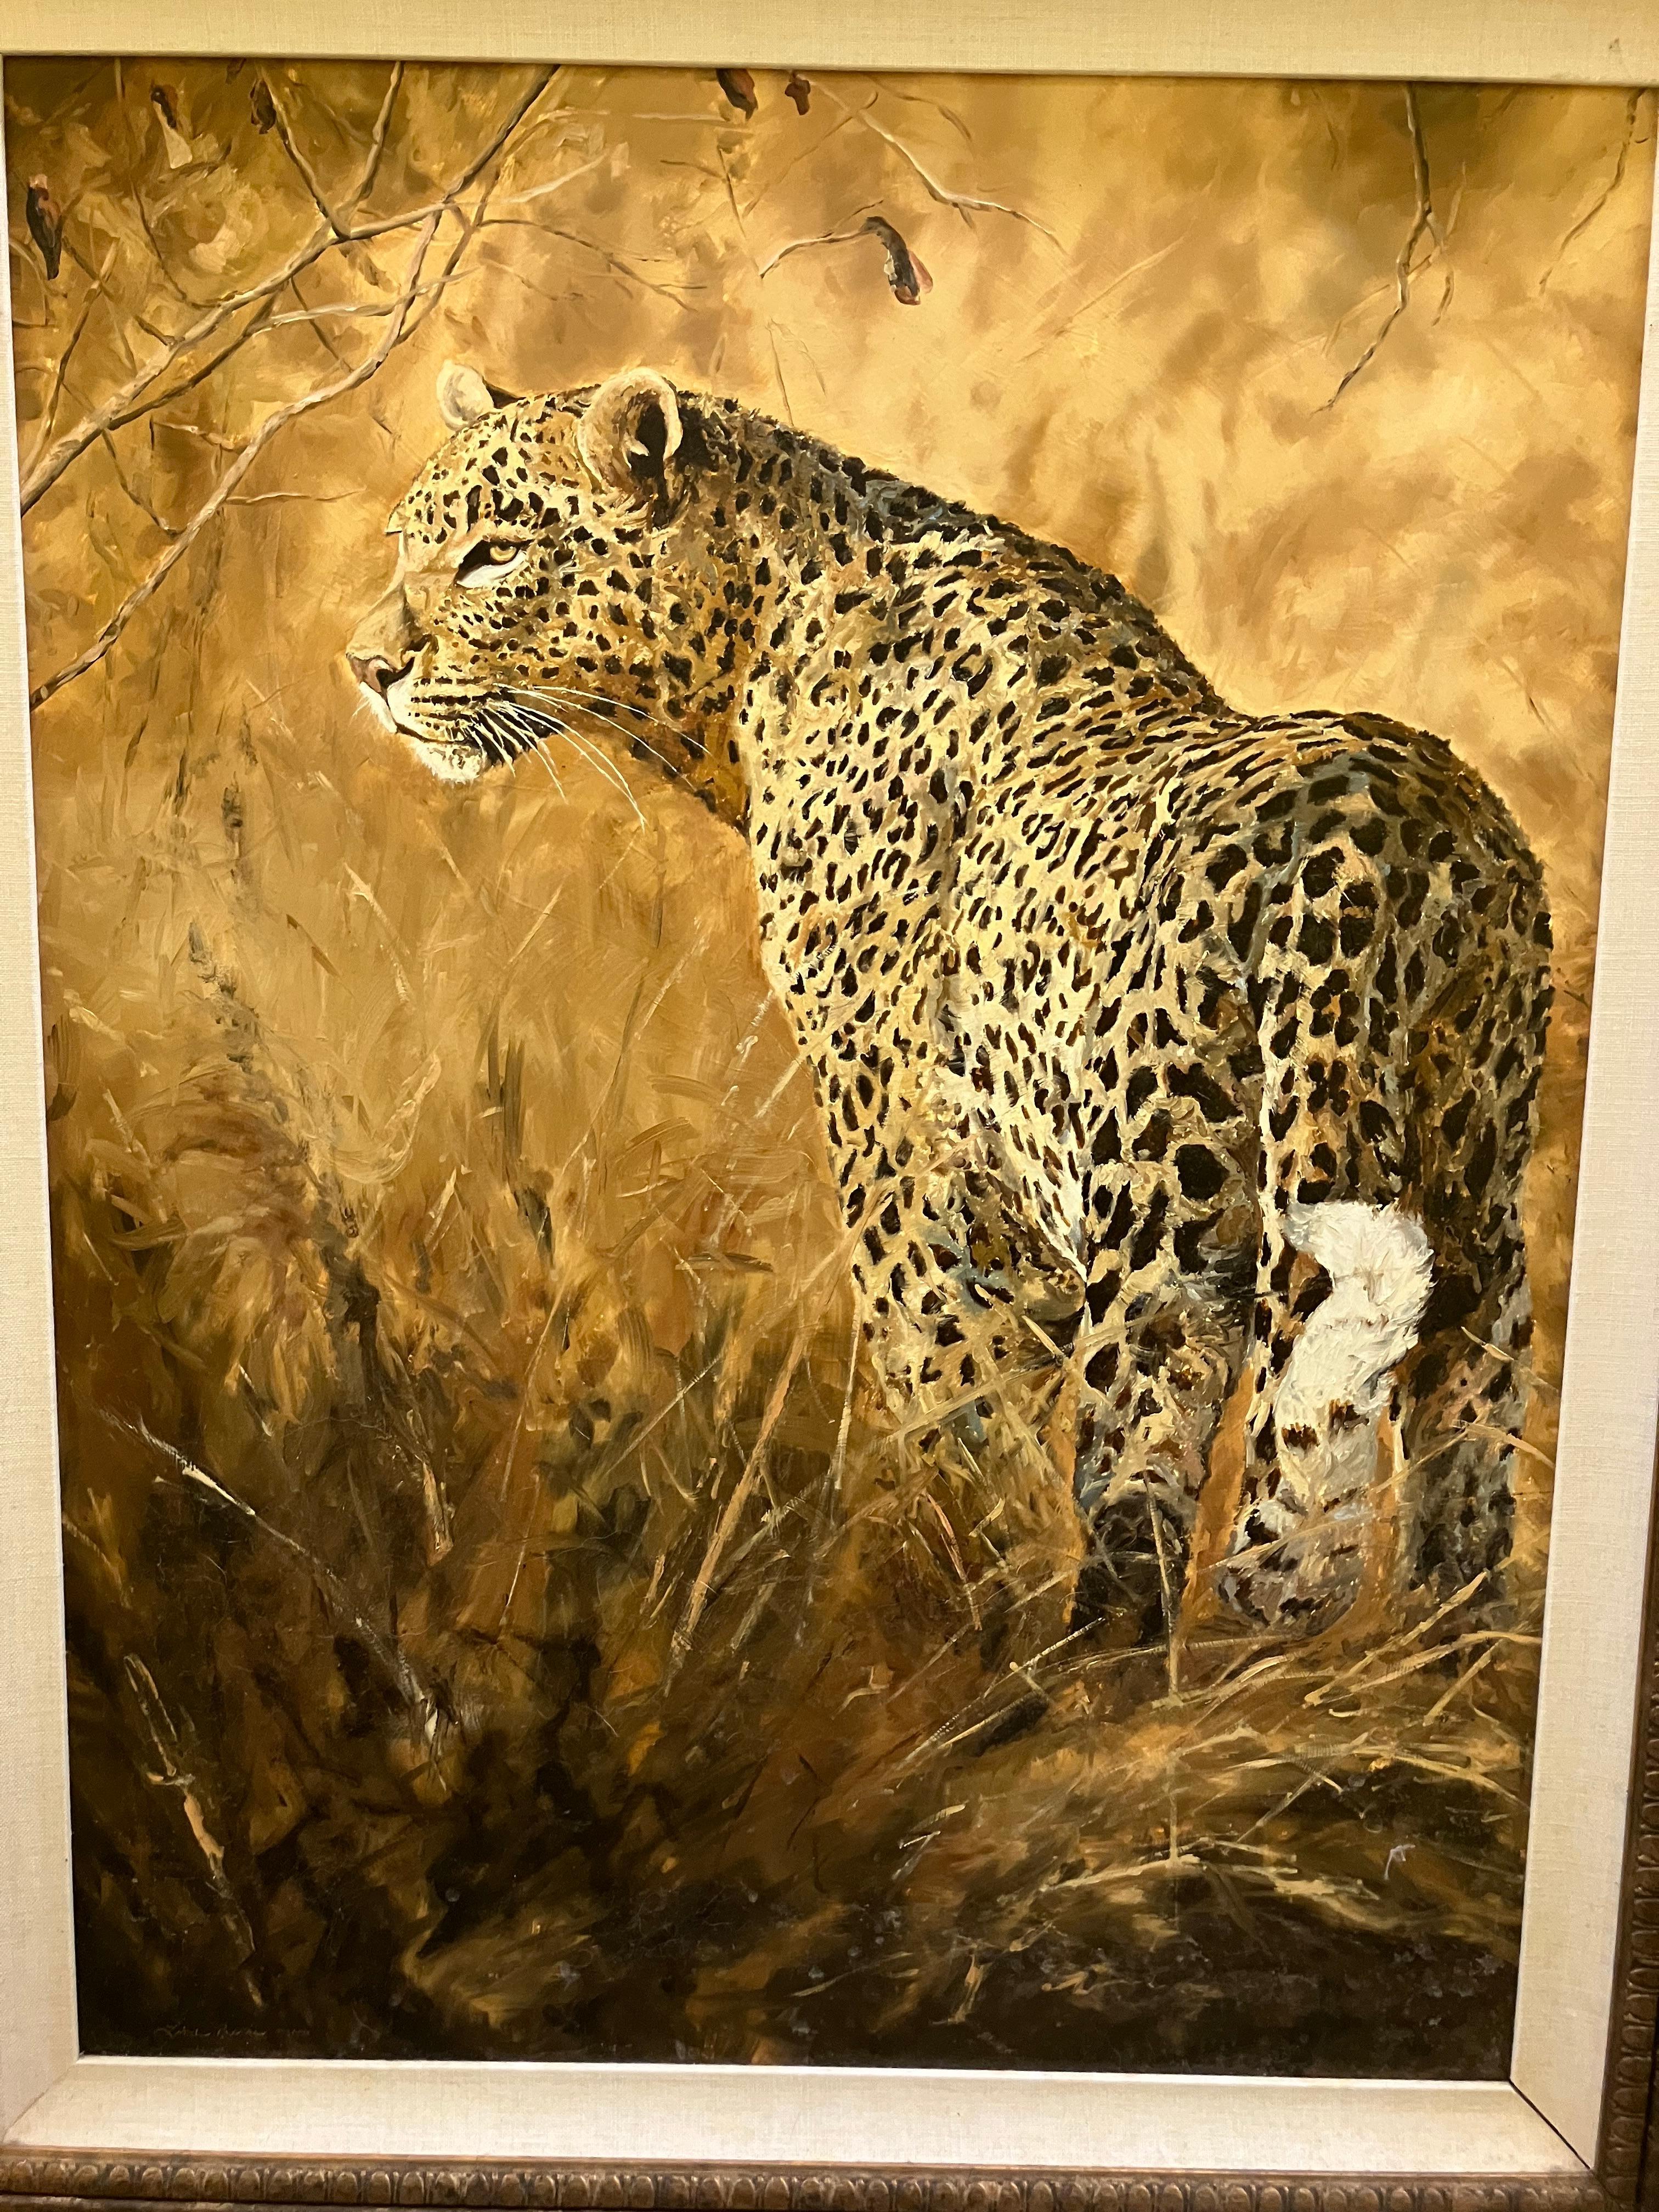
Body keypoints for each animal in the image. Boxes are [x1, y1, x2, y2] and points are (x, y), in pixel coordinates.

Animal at [345, 360, 1552, 1650]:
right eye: (406, 541)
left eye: (493, 554)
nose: (367, 668)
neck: (745, 667)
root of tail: (1371, 833)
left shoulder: (915, 1178)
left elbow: (957, 1416)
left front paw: (950, 1609)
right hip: (1475, 1216)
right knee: (1461, 1465)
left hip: (1171, 1218)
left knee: (1149, 1476)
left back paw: (1078, 1673)